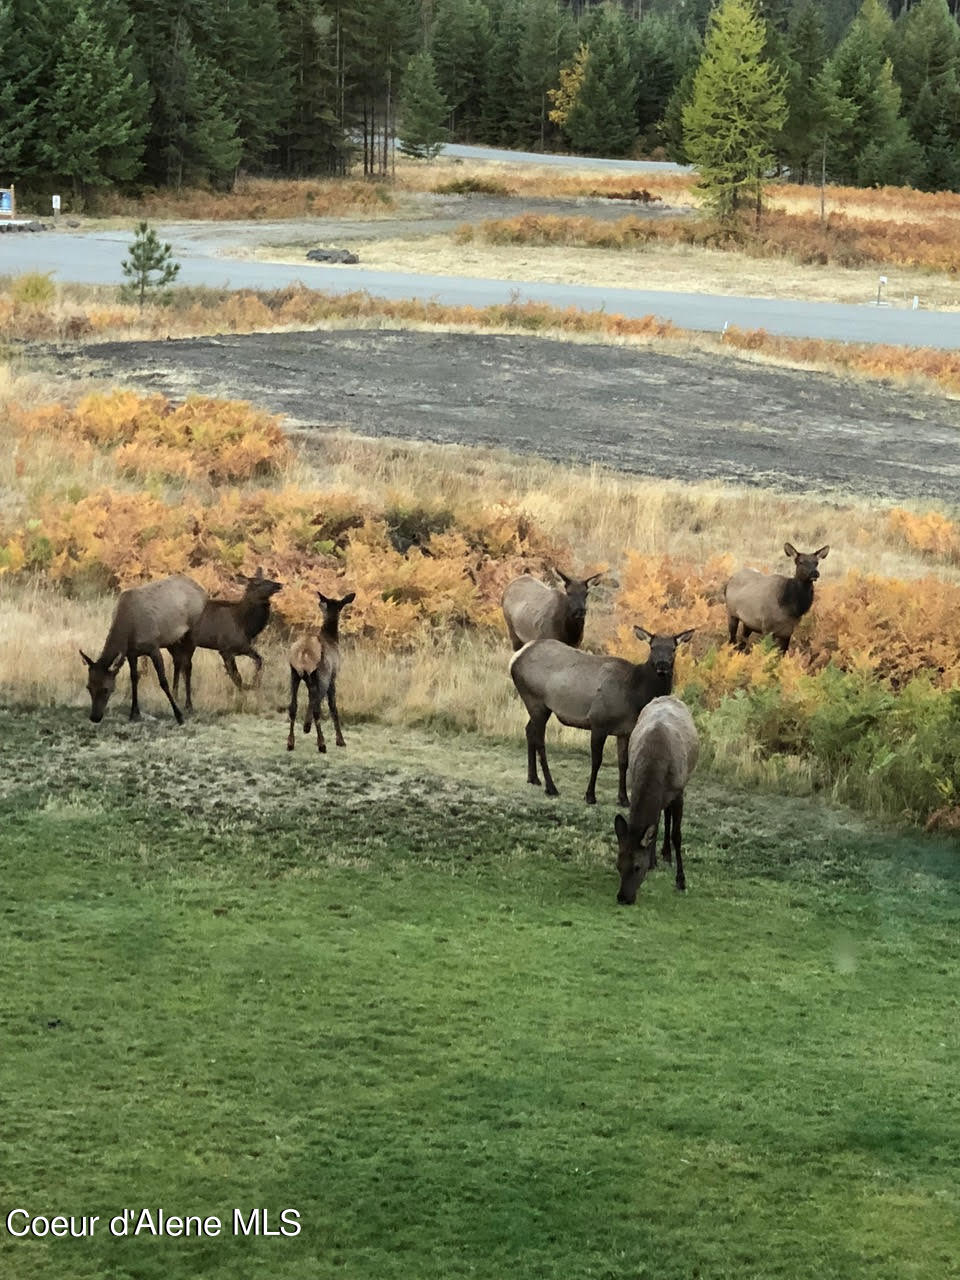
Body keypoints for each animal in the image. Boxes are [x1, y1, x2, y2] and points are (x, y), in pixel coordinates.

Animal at [80, 576, 207, 727]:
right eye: (88, 687)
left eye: (106, 689)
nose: (94, 717)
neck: (128, 632)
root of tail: (202, 590)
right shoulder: (131, 653)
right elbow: (134, 678)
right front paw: (134, 713)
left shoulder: (153, 647)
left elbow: (163, 681)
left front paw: (179, 716)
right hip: (173, 640)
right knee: (179, 662)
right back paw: (177, 697)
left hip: (193, 631)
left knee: (188, 665)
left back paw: (189, 705)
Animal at [170, 568, 284, 711]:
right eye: (257, 583)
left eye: (267, 578)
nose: (279, 585)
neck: (245, 625)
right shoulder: (226, 649)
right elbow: (237, 676)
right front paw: (244, 694)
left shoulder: (243, 647)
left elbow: (260, 661)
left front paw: (254, 684)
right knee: (183, 665)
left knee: (179, 664)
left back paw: (176, 696)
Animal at [291, 593, 358, 752]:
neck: (333, 638)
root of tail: (303, 653)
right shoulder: (333, 676)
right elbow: (333, 707)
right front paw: (340, 740)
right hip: (322, 674)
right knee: (317, 707)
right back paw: (321, 743)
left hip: (294, 673)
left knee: (292, 706)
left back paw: (291, 742)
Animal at [506, 627, 696, 803]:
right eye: (653, 647)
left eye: (673, 648)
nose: (662, 665)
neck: (636, 696)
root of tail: (514, 659)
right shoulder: (598, 721)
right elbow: (597, 760)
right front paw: (590, 796)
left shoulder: (625, 731)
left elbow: (623, 763)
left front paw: (623, 799)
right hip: (535, 699)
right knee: (539, 739)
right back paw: (551, 787)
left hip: (539, 706)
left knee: (529, 730)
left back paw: (533, 778)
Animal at [616, 696, 701, 906]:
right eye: (618, 865)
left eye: (637, 867)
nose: (623, 897)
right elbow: (653, 826)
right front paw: (653, 860)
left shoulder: (679, 792)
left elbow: (677, 835)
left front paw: (681, 880)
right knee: (661, 816)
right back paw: (661, 854)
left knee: (667, 815)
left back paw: (667, 854)